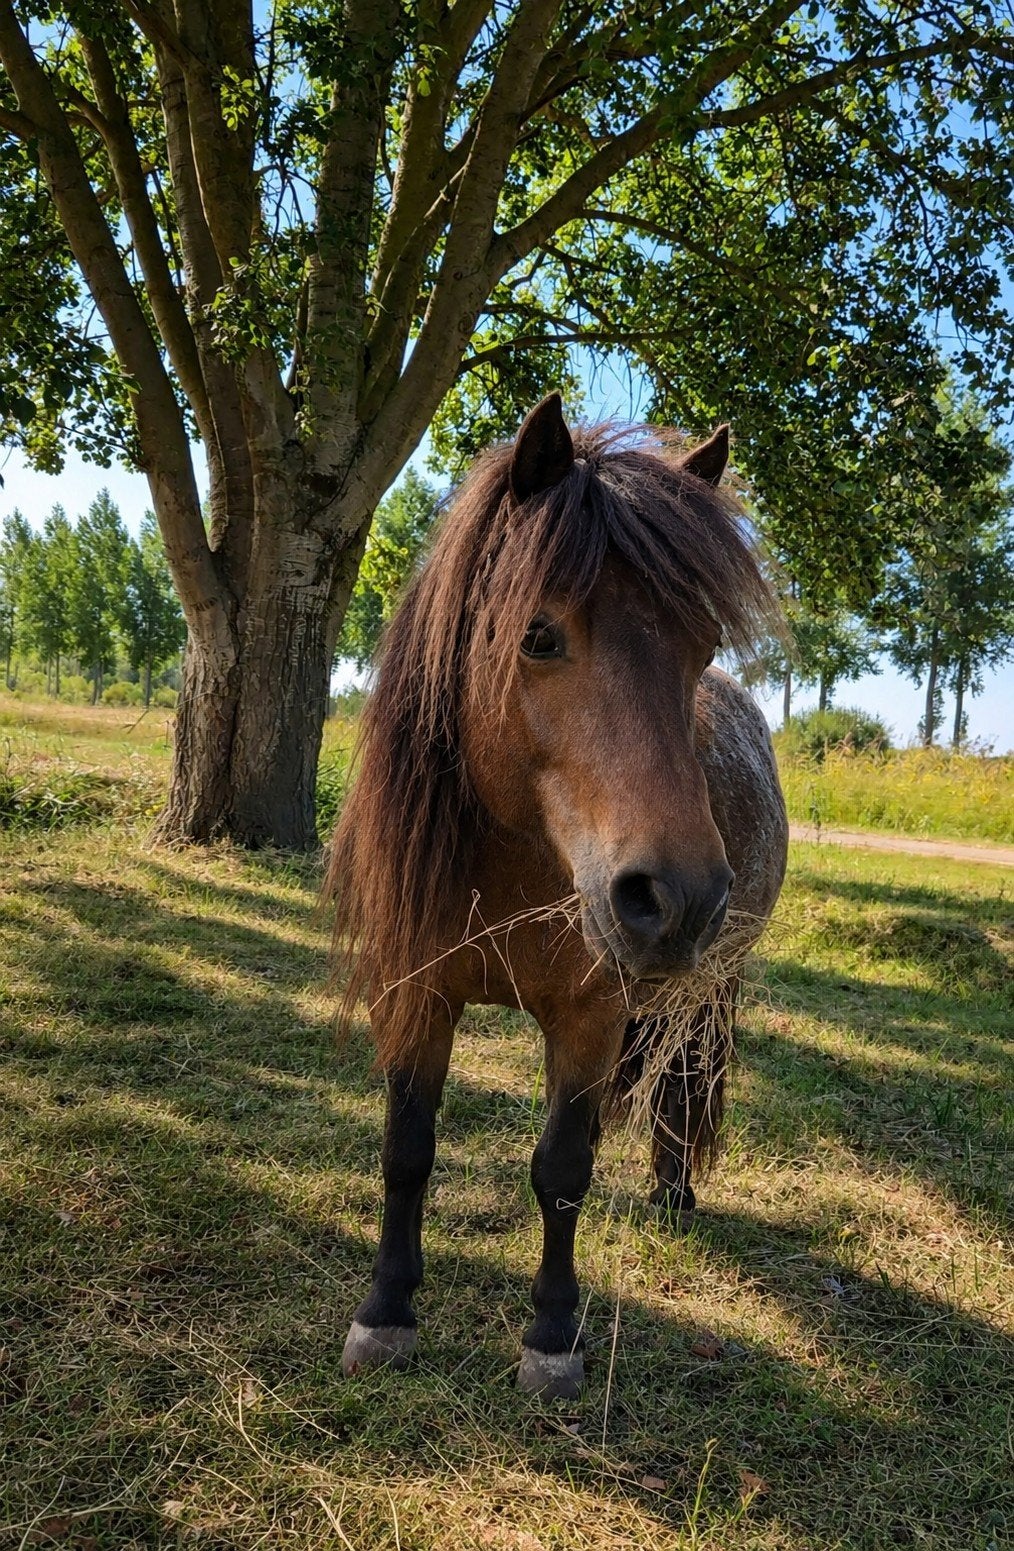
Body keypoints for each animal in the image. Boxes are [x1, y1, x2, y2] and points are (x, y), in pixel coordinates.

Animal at [328, 393, 788, 1399]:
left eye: (701, 647)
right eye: (537, 635)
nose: (679, 898)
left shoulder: (588, 1017)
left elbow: (563, 1168)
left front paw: (552, 1334)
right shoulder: (416, 996)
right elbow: (406, 1150)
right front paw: (386, 1310)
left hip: (709, 989)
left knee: (684, 1081)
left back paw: (673, 1193)